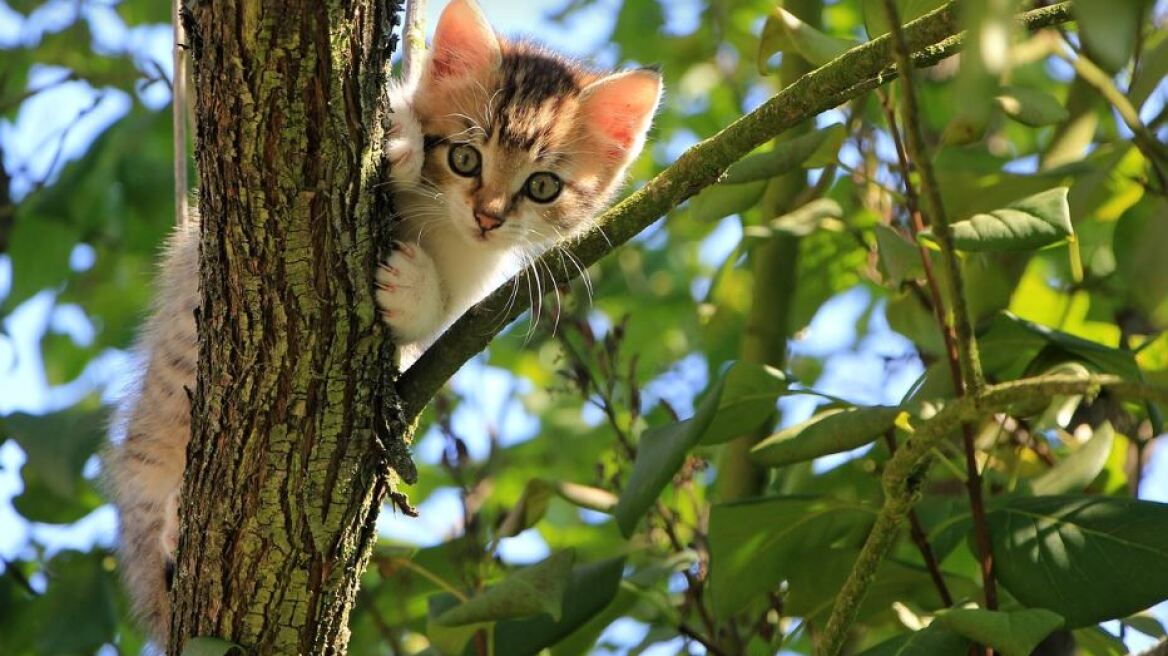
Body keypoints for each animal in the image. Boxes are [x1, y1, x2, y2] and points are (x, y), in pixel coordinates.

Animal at [102, 0, 658, 644]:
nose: (488, 216)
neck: (441, 223)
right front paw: (399, 136)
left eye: (542, 186)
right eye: (464, 157)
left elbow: (435, 319)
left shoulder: (473, 283)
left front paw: (412, 287)